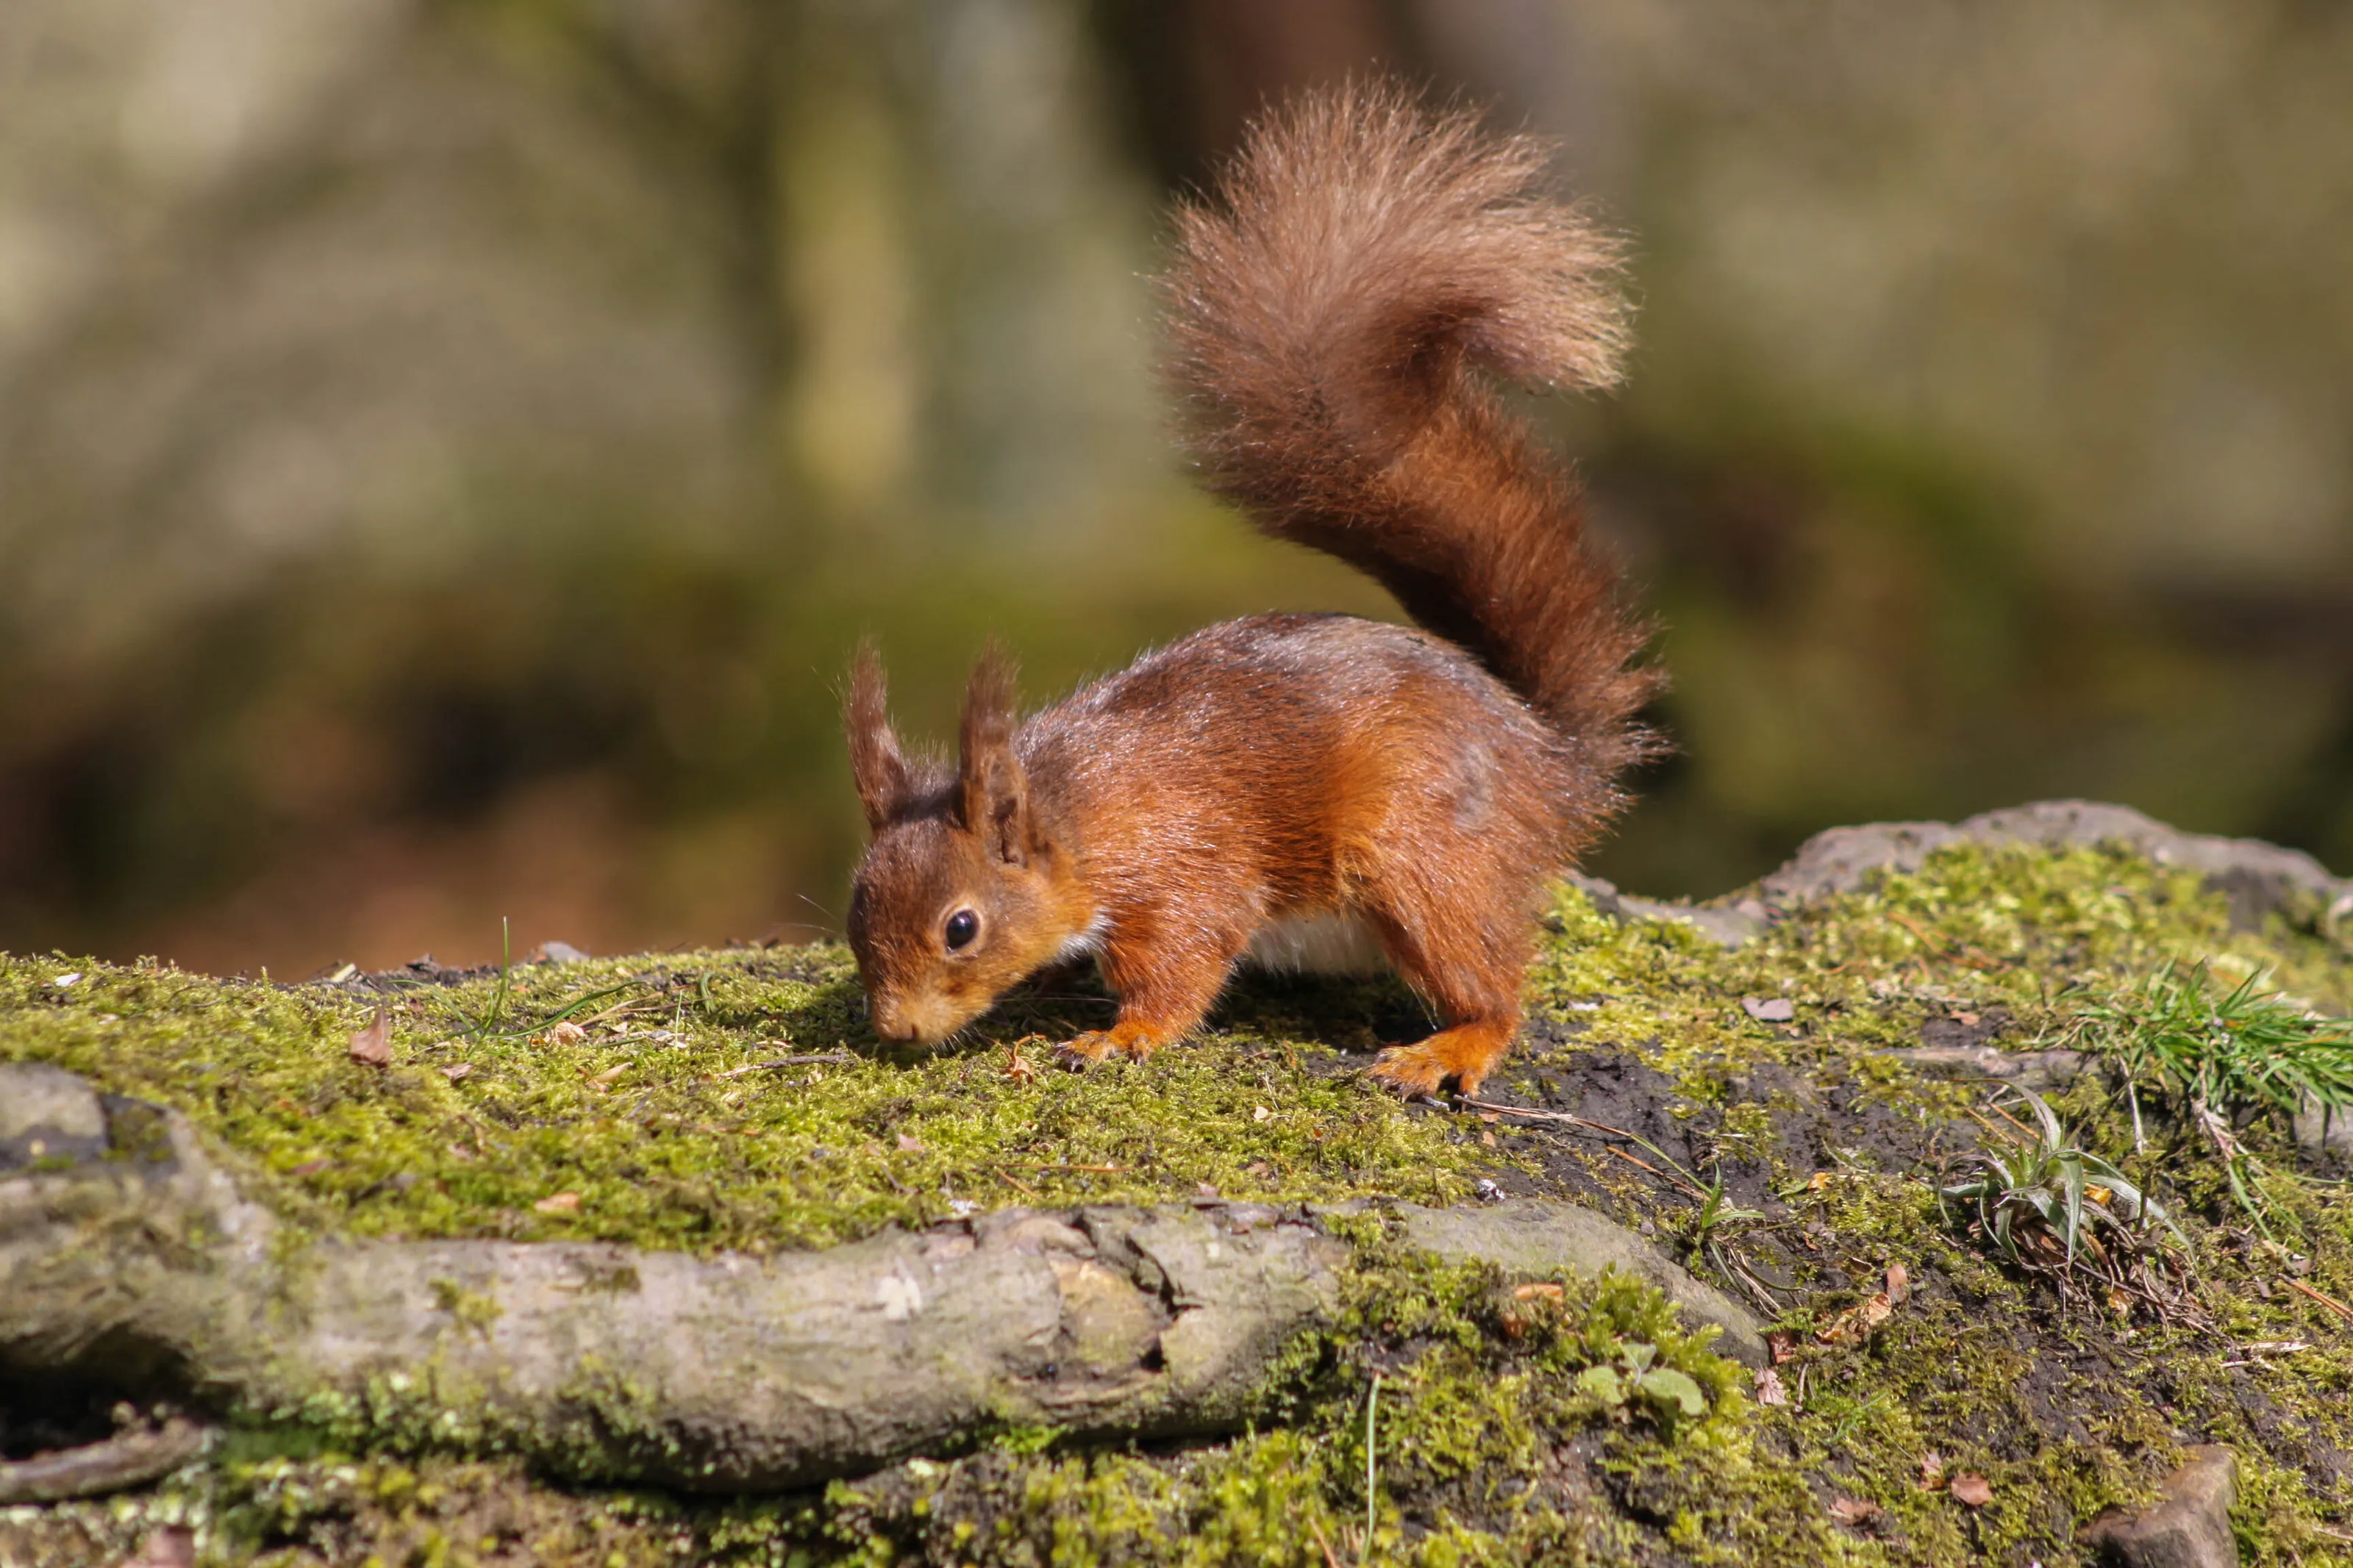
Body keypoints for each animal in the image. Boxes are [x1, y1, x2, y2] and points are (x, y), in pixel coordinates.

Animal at [841, 83, 1659, 1097]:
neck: (1078, 818)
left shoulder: (1185, 872)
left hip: (1419, 857)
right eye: (853, 905)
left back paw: (1447, 1048)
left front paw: (1119, 1036)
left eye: (961, 927)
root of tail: (1548, 759)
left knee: (1492, 983)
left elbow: (1180, 967)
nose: (895, 1030)